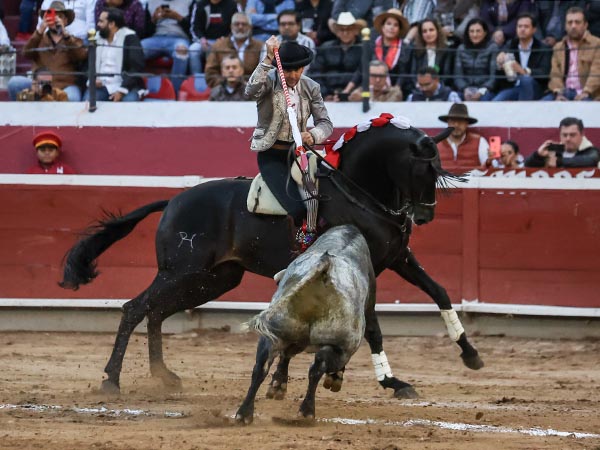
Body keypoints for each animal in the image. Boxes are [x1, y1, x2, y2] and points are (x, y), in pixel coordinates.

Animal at [59, 119, 482, 398]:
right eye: (423, 169)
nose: (424, 216)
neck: (358, 192)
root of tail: (174, 200)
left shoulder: (398, 258)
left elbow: (440, 292)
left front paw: (471, 354)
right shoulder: (370, 270)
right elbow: (374, 327)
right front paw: (392, 382)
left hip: (212, 278)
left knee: (157, 313)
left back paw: (164, 375)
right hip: (181, 270)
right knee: (135, 308)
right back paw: (111, 380)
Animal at [236, 227, 372, 424]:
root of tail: (325, 266)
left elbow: (284, 356)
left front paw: (277, 386)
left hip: (275, 333)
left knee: (260, 367)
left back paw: (244, 413)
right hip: (340, 346)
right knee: (318, 368)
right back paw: (307, 412)